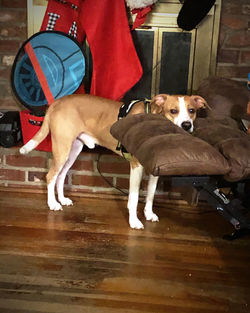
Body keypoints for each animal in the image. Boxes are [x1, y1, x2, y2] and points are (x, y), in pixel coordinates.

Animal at [19, 94, 207, 228]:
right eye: (173, 111)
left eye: (192, 110)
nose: (186, 125)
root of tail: (57, 101)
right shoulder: (136, 166)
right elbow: (134, 197)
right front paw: (134, 221)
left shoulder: (155, 169)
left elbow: (151, 195)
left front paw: (148, 214)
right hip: (62, 148)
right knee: (50, 176)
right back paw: (52, 204)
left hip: (73, 150)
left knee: (61, 175)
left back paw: (62, 200)